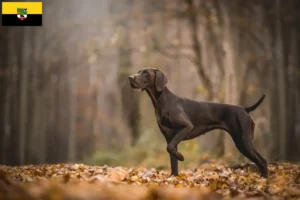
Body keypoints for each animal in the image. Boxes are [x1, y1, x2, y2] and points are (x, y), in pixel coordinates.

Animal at [127, 68, 268, 177]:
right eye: (138, 72)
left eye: (145, 73)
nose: (130, 78)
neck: (162, 101)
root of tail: (244, 108)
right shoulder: (170, 137)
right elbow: (172, 160)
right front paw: (173, 178)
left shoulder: (186, 127)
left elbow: (170, 148)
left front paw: (180, 157)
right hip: (246, 141)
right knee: (262, 160)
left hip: (242, 141)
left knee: (262, 161)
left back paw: (263, 180)